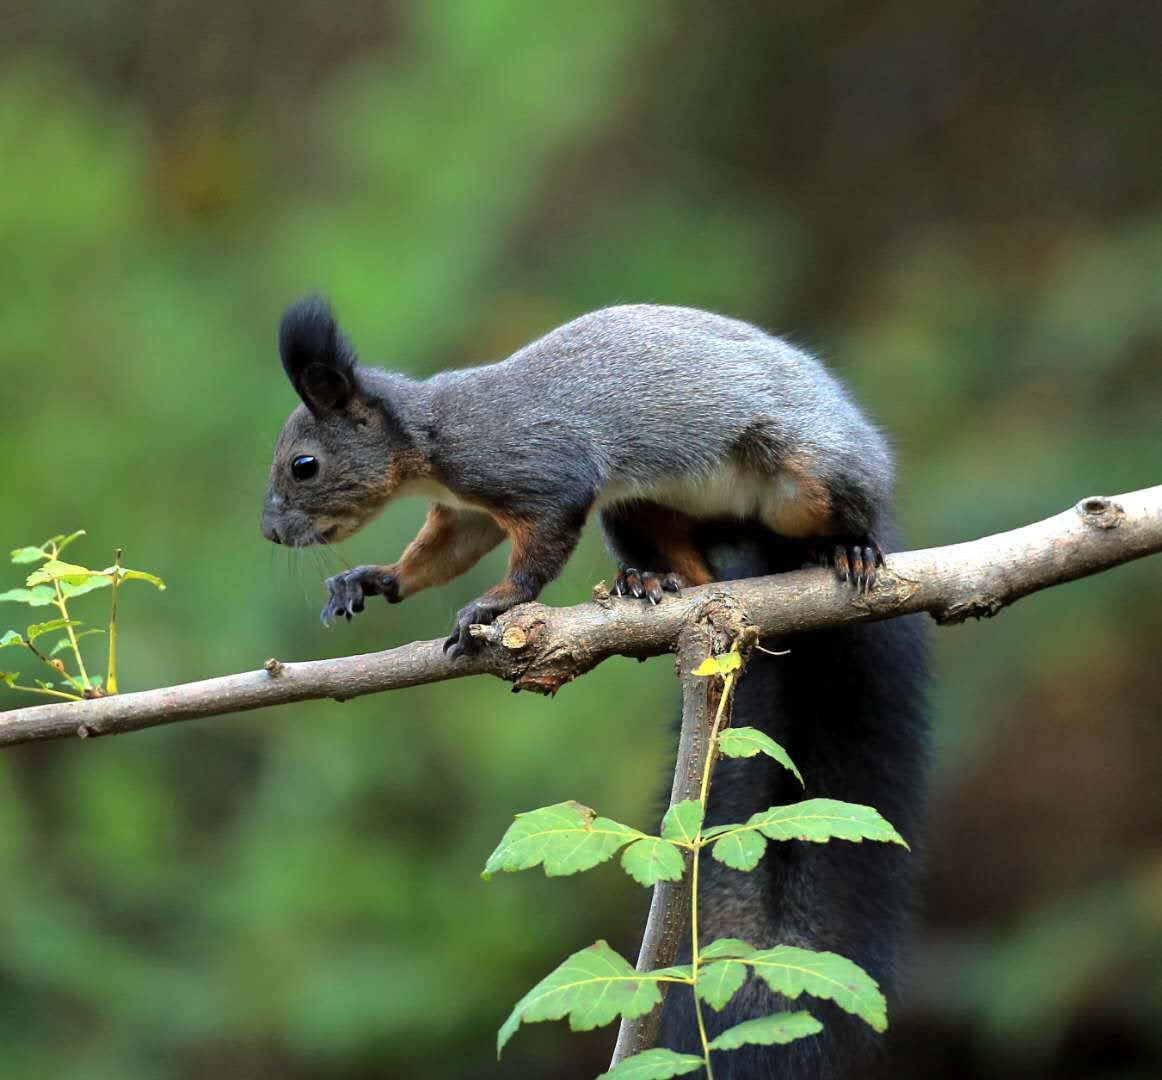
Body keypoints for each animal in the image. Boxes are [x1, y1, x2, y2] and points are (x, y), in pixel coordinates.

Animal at [261, 297, 924, 1078]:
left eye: (304, 466)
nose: (270, 532)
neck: (432, 437)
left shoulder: (532, 467)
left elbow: (538, 545)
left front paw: (493, 606)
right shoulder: (466, 510)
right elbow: (443, 552)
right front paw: (373, 580)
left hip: (806, 475)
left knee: (834, 517)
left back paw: (846, 550)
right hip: (639, 509)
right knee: (698, 571)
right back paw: (651, 581)